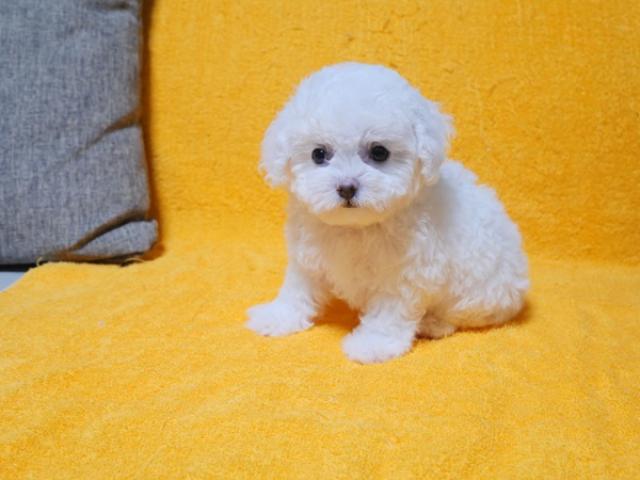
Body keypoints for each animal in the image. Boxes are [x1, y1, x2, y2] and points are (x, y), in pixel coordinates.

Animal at [247, 62, 529, 363]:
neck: (356, 227)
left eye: (379, 152)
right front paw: (277, 316)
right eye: (318, 154)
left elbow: (389, 312)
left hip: (479, 291)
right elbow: (297, 290)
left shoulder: (406, 273)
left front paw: (373, 344)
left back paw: (433, 323)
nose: (347, 188)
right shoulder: (307, 257)